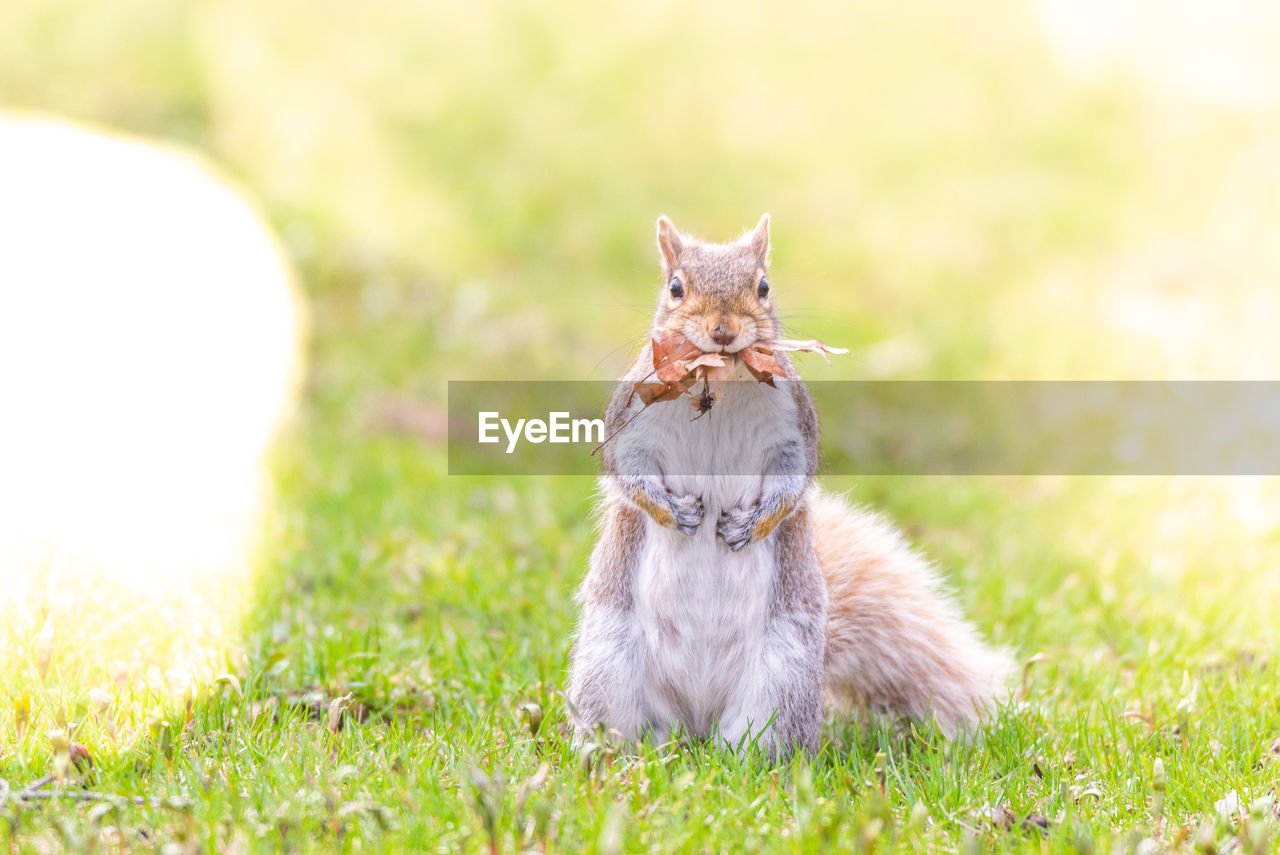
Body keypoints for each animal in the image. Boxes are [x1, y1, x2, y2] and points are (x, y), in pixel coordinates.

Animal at [570, 217, 1008, 757]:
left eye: (763, 286)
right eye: (675, 287)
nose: (723, 331)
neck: (721, 382)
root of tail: (696, 720)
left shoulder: (794, 428)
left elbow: (792, 484)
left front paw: (749, 526)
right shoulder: (633, 418)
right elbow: (627, 472)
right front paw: (675, 512)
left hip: (784, 674)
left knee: (760, 743)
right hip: (609, 663)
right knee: (622, 727)